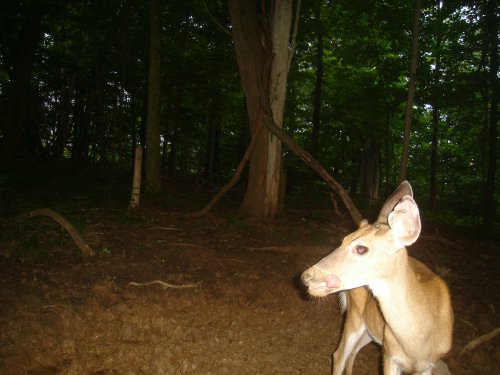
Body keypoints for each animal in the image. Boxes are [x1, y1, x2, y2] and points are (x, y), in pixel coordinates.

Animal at [300, 181, 454, 374]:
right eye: (343, 239)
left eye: (361, 249)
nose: (307, 275)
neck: (418, 343)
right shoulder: (389, 353)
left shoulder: (429, 364)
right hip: (355, 316)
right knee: (338, 354)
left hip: (370, 330)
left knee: (351, 353)